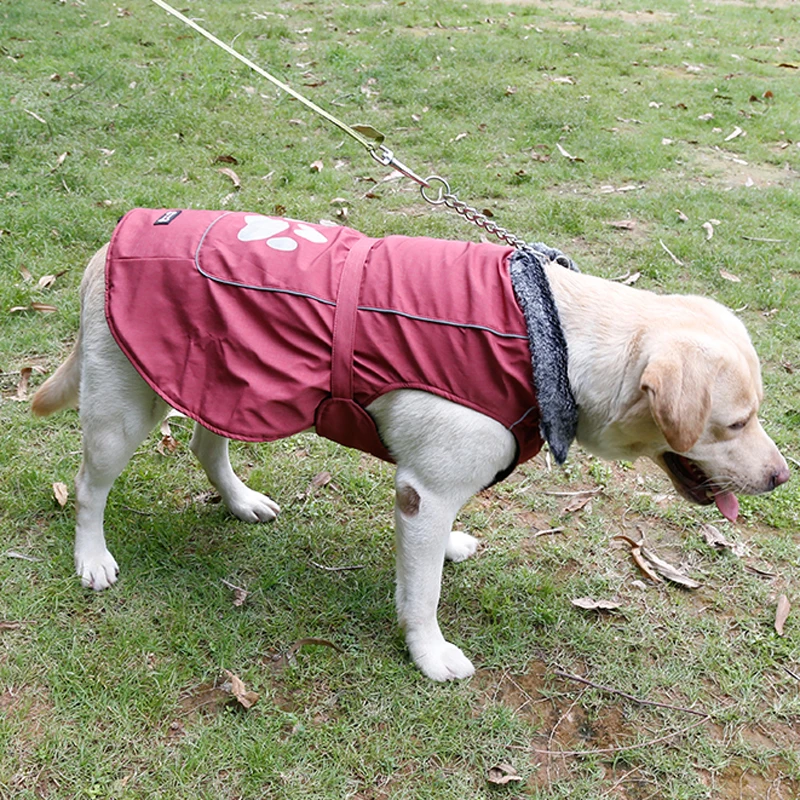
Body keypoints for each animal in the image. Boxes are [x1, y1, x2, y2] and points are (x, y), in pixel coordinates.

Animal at [32, 217, 788, 680]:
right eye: (734, 424)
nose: (782, 476)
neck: (553, 338)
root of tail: (110, 244)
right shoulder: (424, 493)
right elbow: (423, 597)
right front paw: (429, 655)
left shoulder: (427, 494)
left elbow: (426, 563)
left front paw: (446, 555)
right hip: (122, 412)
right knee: (91, 489)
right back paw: (92, 557)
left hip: (229, 382)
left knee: (204, 445)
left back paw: (241, 501)